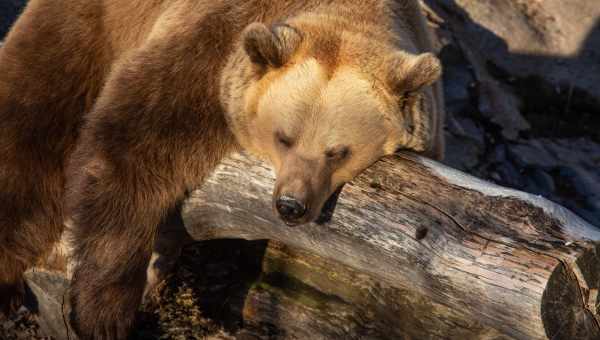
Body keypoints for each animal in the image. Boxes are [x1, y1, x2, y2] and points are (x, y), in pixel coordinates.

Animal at [0, 0, 440, 338]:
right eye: (284, 137)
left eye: (337, 151)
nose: (291, 206)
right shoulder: (213, 52)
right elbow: (132, 147)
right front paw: (104, 313)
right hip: (91, 27)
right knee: (32, 119)